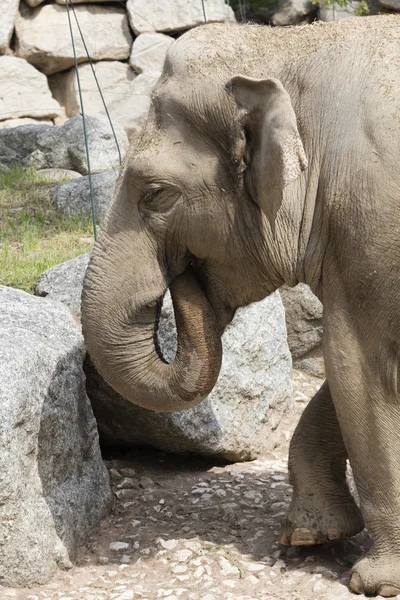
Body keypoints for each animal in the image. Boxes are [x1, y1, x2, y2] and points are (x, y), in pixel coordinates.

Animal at [80, 14, 400, 596]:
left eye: (156, 194)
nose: (183, 277)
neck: (291, 49)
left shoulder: (371, 224)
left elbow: (359, 370)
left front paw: (375, 580)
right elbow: (348, 373)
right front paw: (310, 536)